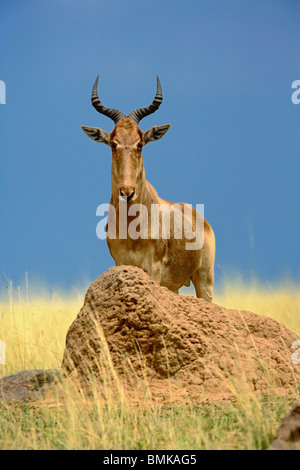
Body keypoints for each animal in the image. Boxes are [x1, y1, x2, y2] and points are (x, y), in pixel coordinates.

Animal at [81, 74, 214, 302]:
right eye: (113, 144)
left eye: (140, 143)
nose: (127, 192)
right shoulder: (121, 264)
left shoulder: (154, 268)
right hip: (173, 286)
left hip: (204, 280)